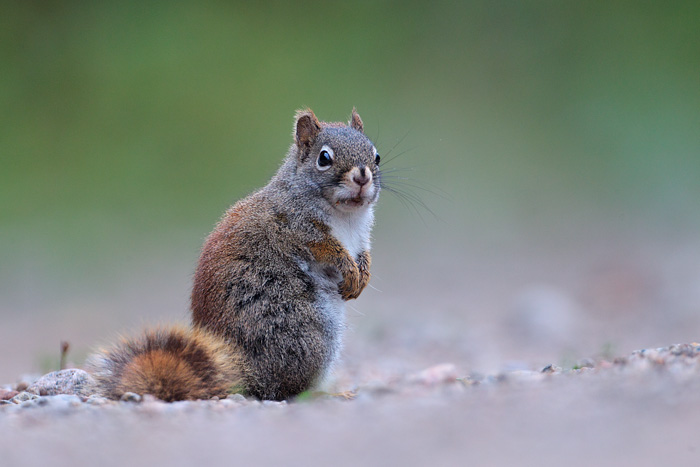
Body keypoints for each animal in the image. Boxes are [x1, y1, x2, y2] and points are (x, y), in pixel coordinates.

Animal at [88, 108, 386, 400]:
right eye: (324, 158)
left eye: (376, 156)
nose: (362, 176)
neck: (346, 215)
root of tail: (244, 372)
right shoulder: (298, 229)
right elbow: (329, 251)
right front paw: (349, 270)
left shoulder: (360, 238)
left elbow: (364, 255)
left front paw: (363, 275)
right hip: (302, 331)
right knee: (284, 390)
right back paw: (327, 394)